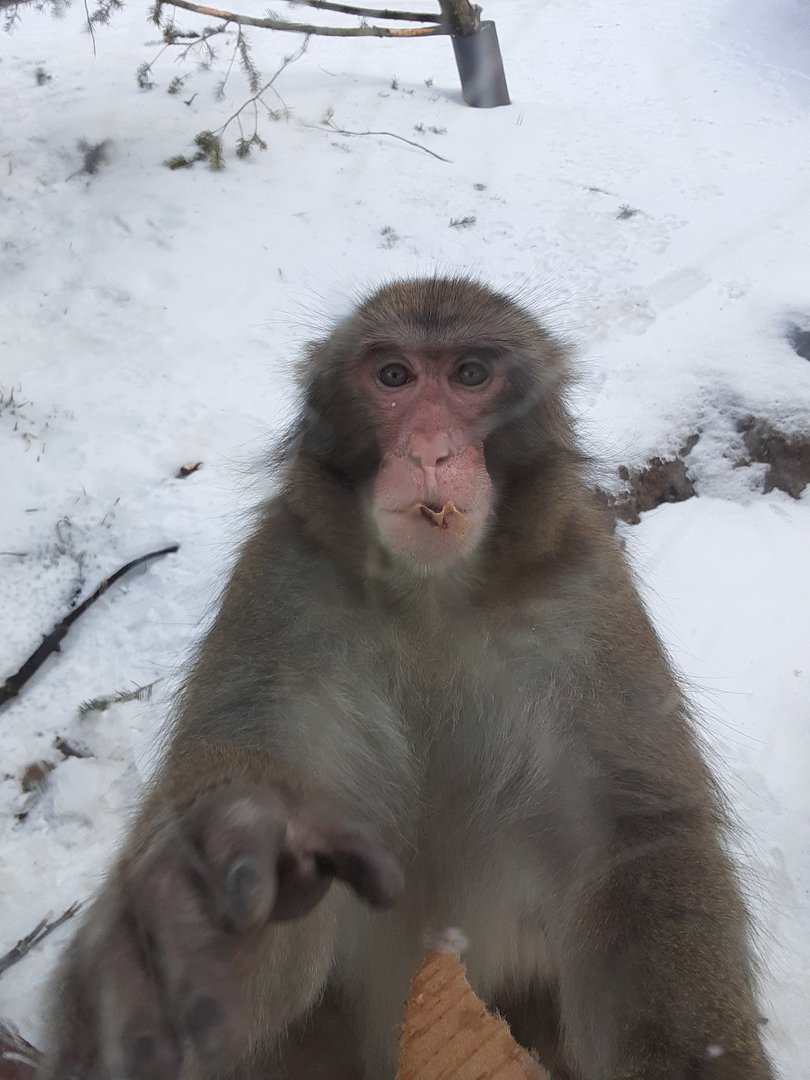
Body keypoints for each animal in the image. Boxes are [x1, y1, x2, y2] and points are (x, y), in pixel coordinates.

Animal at [39, 276, 774, 1080]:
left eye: (471, 375)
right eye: (393, 376)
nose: (429, 449)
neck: (431, 599)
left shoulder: (587, 596)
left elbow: (636, 840)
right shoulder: (280, 590)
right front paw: (187, 933)